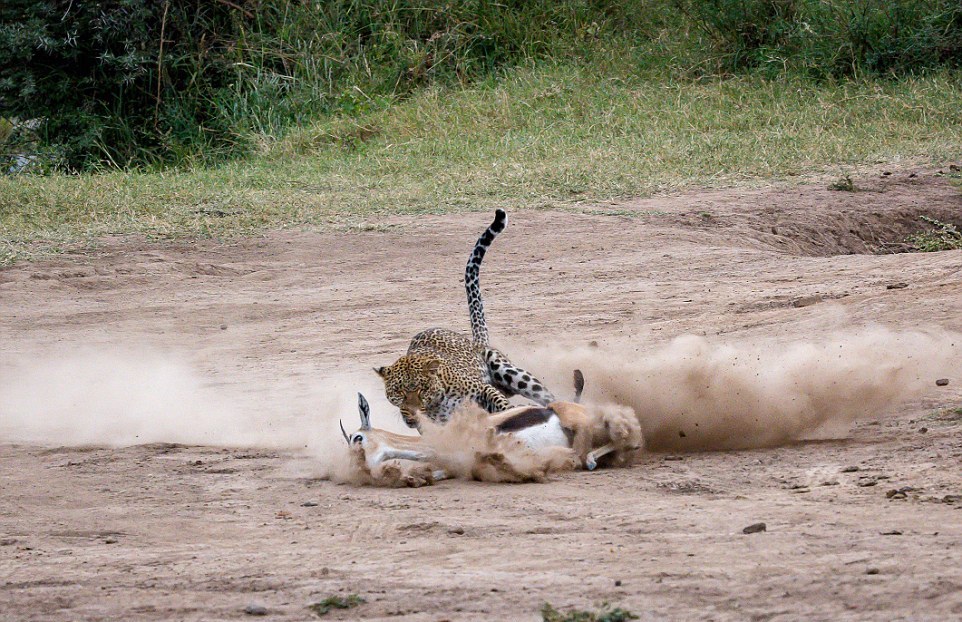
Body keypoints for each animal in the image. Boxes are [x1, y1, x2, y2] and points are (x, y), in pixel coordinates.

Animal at [376, 208, 556, 428]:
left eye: (421, 389)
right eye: (398, 392)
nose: (411, 414)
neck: (437, 401)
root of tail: (474, 342)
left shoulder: (482, 390)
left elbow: (501, 405)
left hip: (508, 370)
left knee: (547, 396)